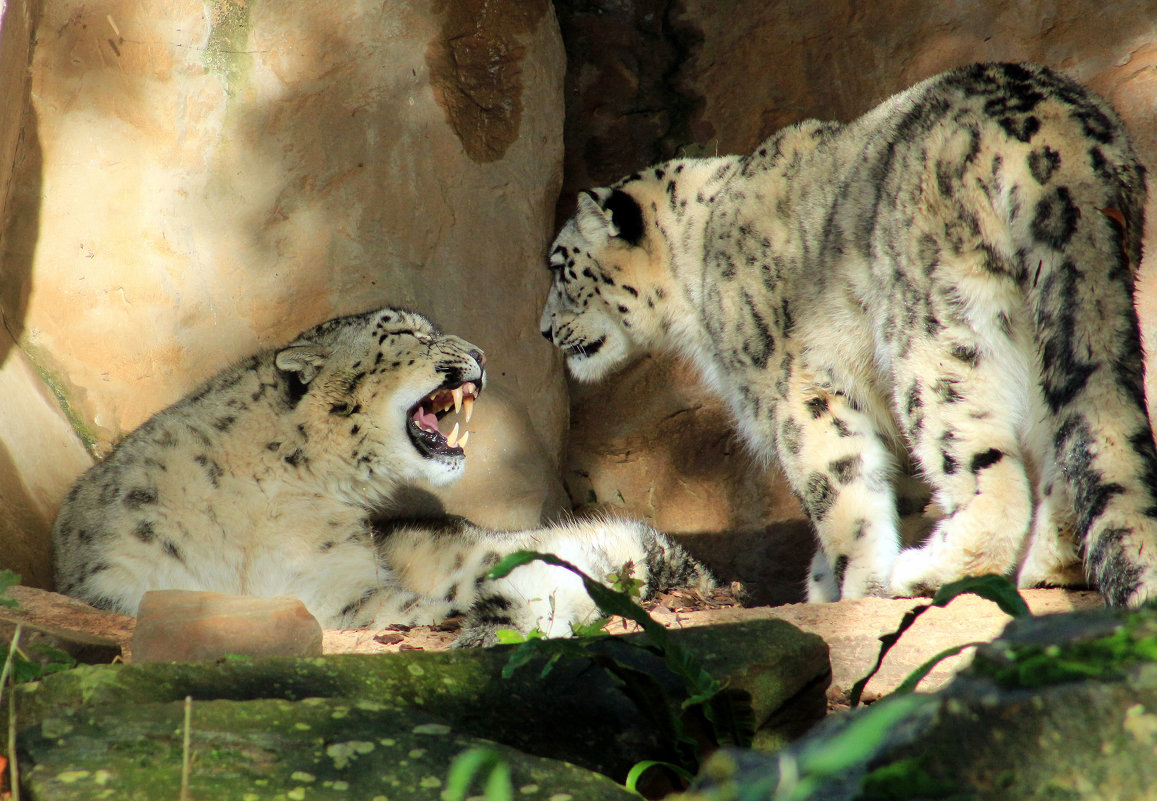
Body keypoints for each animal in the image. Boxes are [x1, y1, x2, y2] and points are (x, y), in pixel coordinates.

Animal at [541, 62, 1157, 611]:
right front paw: (823, 584)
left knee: (986, 469)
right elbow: (888, 487)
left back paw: (929, 571)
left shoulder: (797, 390)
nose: (544, 330)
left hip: (935, 333)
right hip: (1053, 325)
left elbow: (841, 491)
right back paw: (1050, 569)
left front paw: (859, 585)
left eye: (559, 267)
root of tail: (1058, 135)